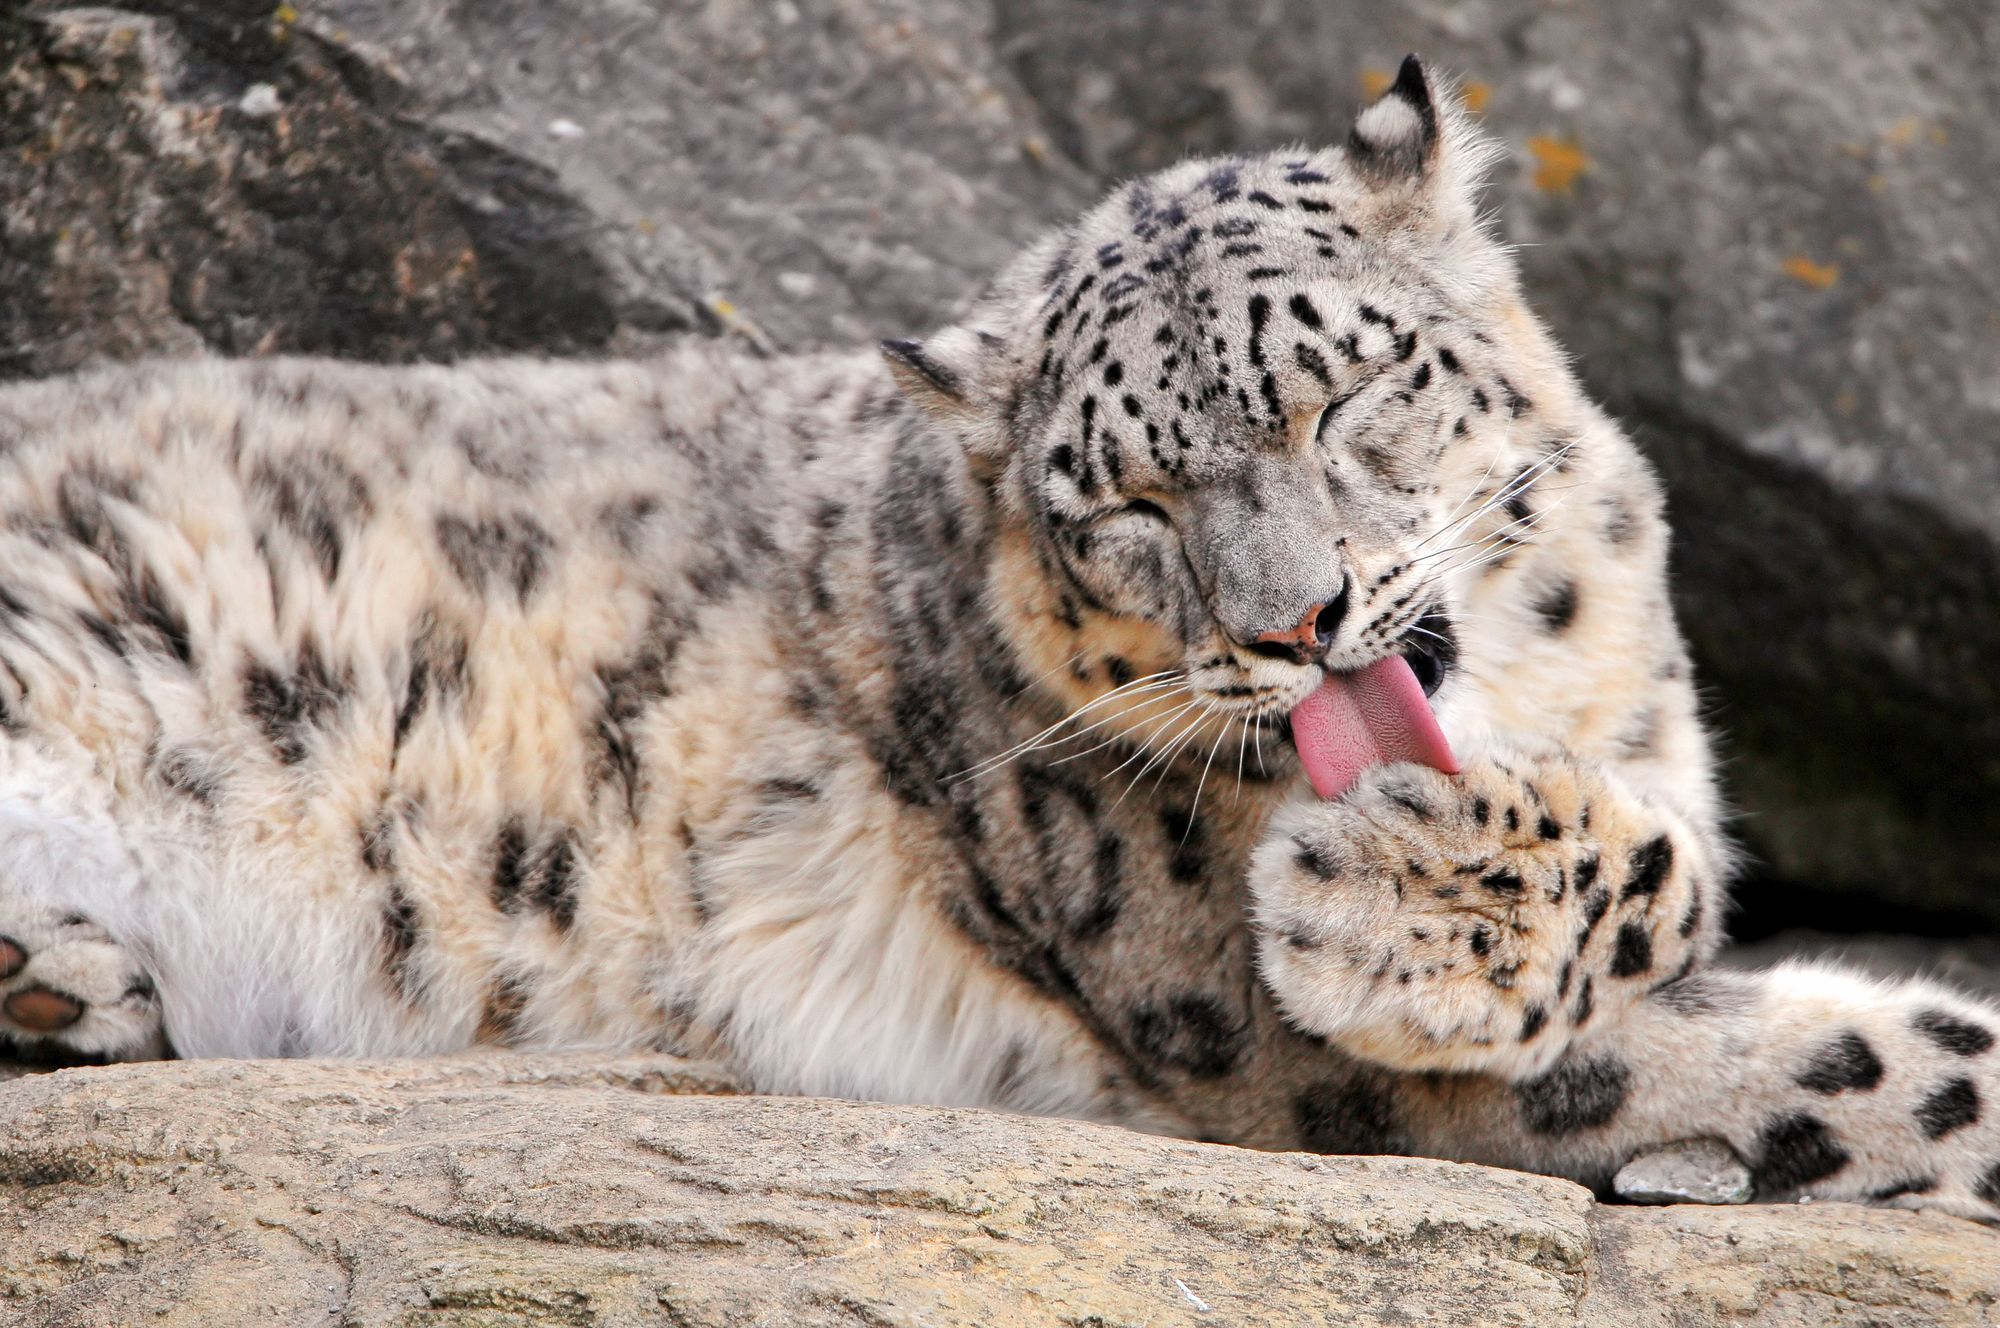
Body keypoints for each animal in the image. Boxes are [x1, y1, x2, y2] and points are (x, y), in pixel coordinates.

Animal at [3, 57, 2000, 1216]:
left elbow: (1682, 874)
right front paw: (1404, 899)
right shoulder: (1254, 1030)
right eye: (1126, 503)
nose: (1298, 621)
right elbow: (1857, 1064)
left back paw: (73, 990)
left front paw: (1417, 884)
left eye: (1348, 392)